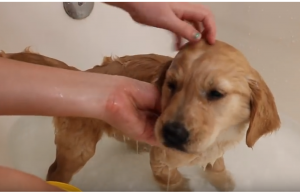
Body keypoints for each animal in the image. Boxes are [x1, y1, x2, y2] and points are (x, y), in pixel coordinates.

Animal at [1, 38, 280, 192]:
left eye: (216, 93)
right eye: (171, 85)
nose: (171, 133)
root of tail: (82, 73)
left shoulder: (215, 150)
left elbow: (217, 168)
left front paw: (226, 183)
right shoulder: (161, 161)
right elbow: (175, 181)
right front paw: (186, 187)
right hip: (77, 148)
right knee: (56, 170)